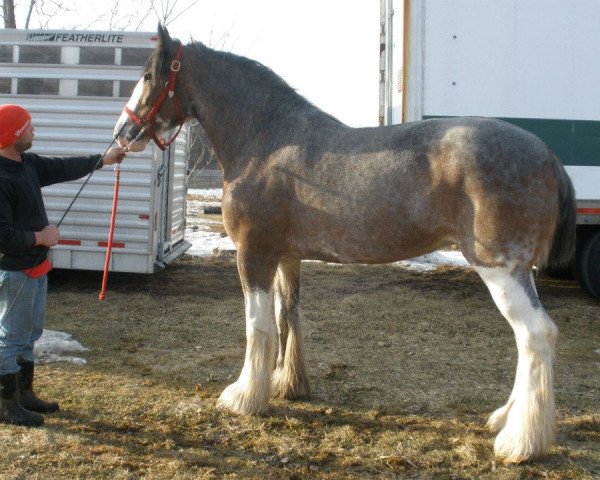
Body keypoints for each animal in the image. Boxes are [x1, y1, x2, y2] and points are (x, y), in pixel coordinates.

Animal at [113, 26, 576, 464]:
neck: (268, 141)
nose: (123, 132)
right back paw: (505, 418)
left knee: (535, 334)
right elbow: (286, 315)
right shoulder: (287, 257)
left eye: (149, 74)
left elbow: (257, 325)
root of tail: (546, 153)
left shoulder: (253, 254)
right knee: (527, 340)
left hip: (500, 268)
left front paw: (244, 397)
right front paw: (287, 384)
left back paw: (520, 442)